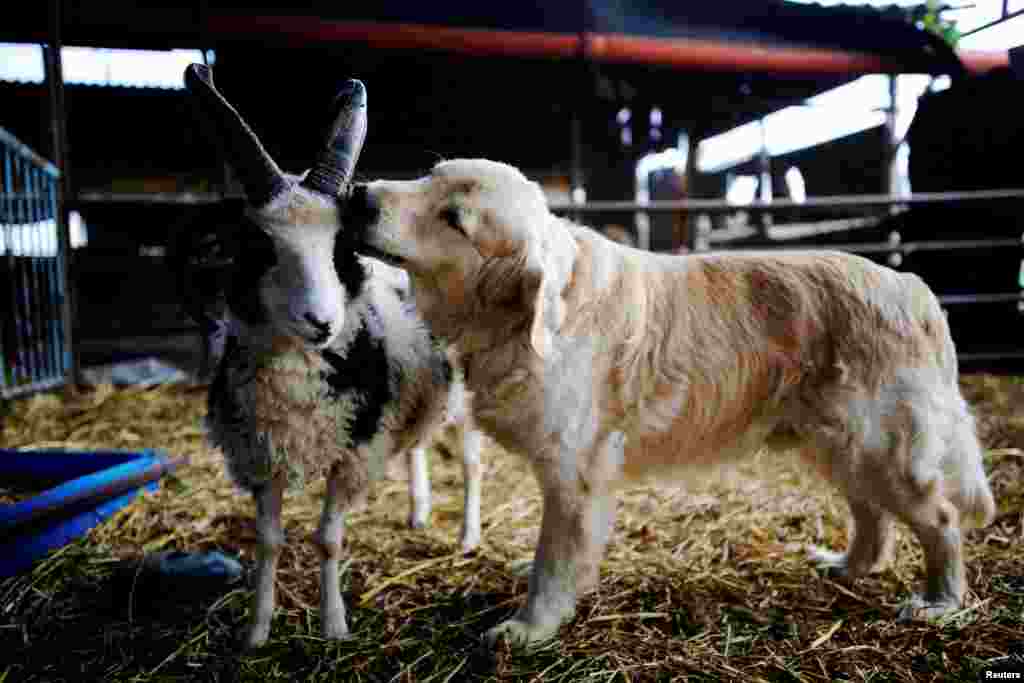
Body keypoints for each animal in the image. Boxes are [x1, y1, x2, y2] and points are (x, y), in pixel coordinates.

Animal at [342, 157, 991, 651]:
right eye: (428, 176)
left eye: (453, 218)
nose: (356, 195)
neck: (523, 317)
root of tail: (912, 287)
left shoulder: (575, 475)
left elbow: (553, 562)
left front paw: (530, 627)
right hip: (838, 443)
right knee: (874, 520)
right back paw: (847, 568)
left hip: (879, 444)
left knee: (941, 519)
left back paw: (940, 602)